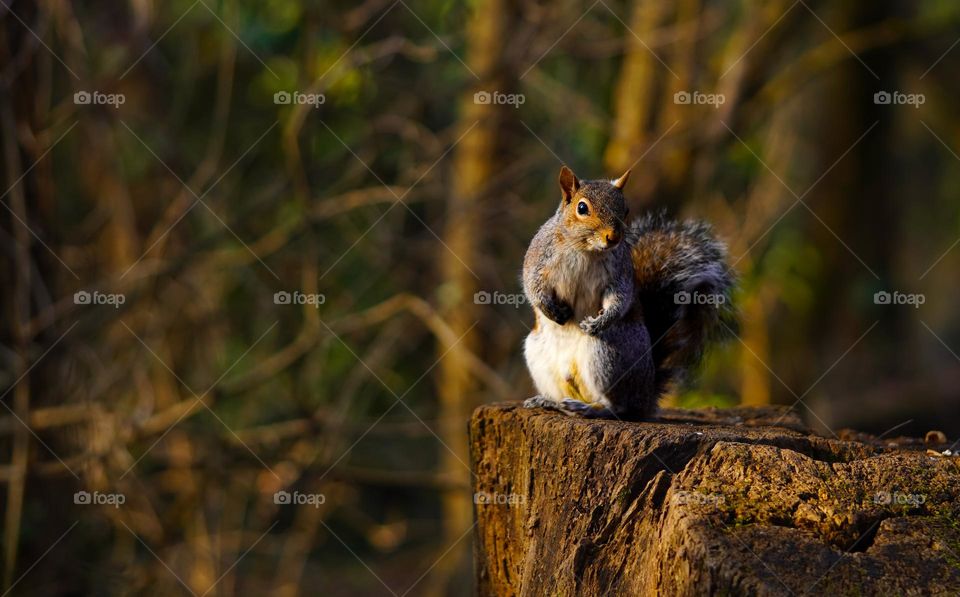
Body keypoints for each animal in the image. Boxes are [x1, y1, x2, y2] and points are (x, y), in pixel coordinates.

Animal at [516, 164, 736, 420]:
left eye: (626, 208)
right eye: (582, 208)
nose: (613, 237)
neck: (585, 250)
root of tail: (647, 397)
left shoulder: (619, 275)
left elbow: (620, 298)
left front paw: (600, 321)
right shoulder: (538, 259)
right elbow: (532, 286)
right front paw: (551, 310)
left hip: (608, 354)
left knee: (619, 406)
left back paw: (589, 408)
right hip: (538, 354)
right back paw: (549, 401)